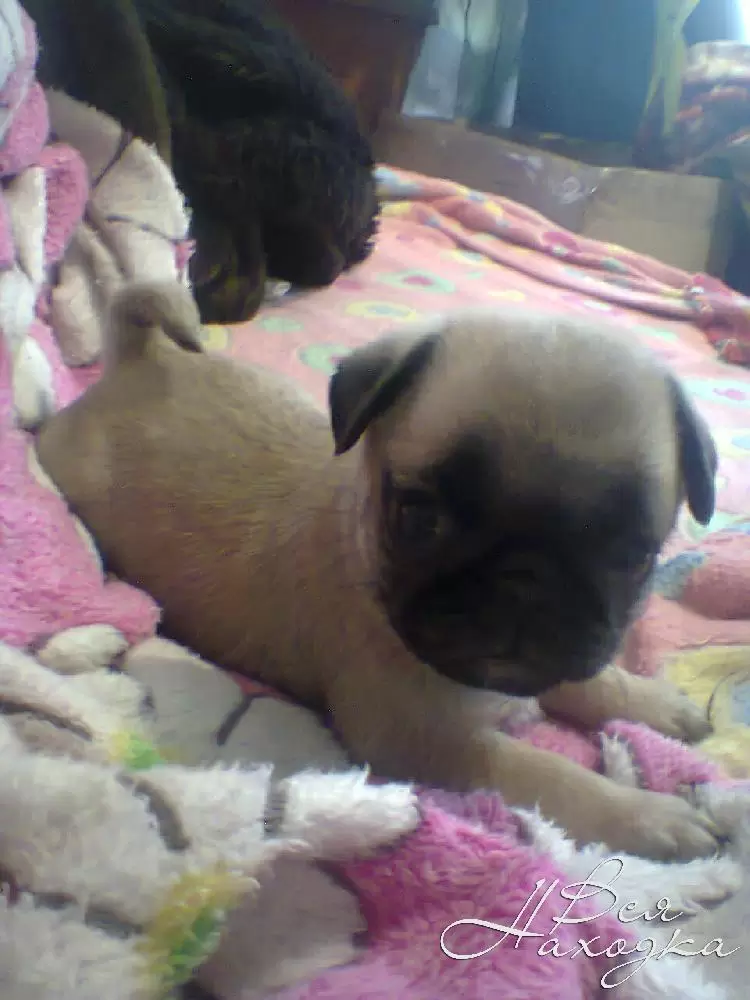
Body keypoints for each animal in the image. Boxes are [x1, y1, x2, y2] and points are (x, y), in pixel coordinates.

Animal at [36, 282, 723, 861]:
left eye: (632, 555)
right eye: (420, 517)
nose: (524, 581)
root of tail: (139, 360)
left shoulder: (547, 663)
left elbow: (587, 679)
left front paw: (651, 703)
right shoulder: (424, 742)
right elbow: (548, 773)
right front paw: (644, 815)